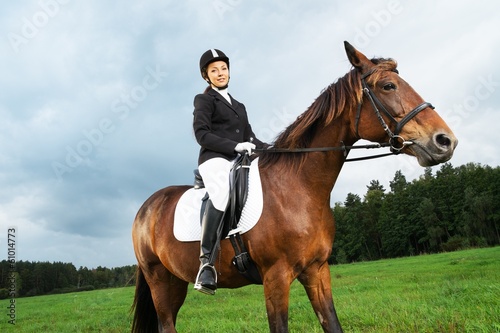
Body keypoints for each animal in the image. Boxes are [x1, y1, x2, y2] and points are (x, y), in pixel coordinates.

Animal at [132, 42, 458, 332]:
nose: (446, 141)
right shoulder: (276, 278)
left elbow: (332, 324)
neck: (299, 189)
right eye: (388, 86)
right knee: (166, 323)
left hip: (175, 280)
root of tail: (146, 208)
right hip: (159, 279)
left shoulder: (317, 271)